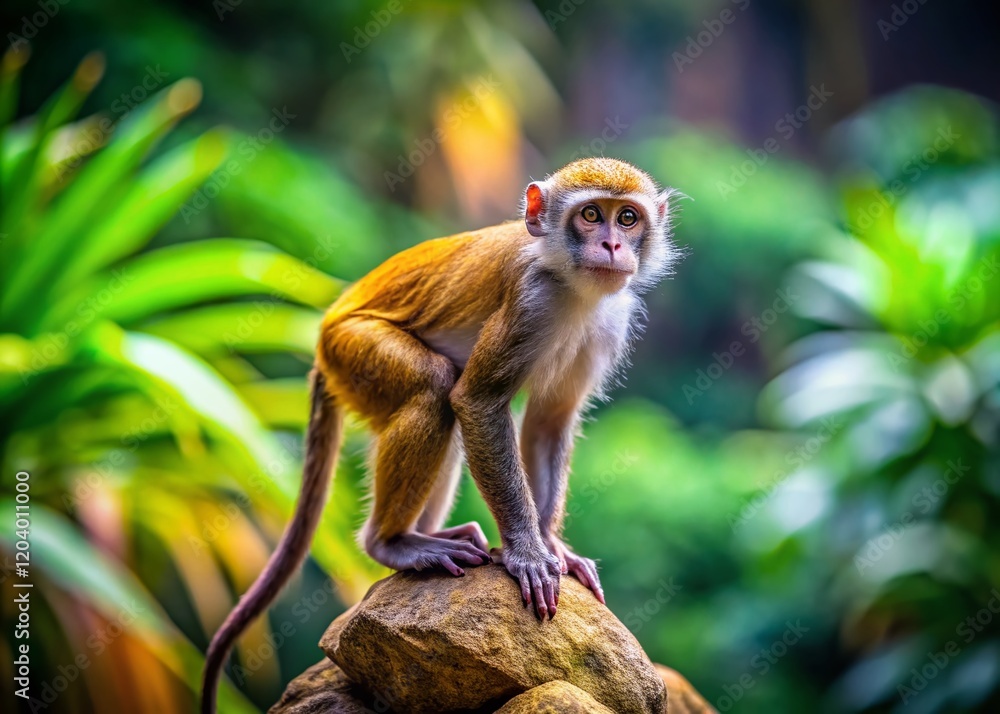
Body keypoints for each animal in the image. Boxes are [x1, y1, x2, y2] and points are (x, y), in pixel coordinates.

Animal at [202, 157, 679, 713]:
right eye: (590, 215)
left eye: (627, 217)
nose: (612, 245)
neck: (568, 282)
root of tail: (325, 336)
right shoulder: (531, 302)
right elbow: (475, 401)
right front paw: (528, 552)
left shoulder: (610, 320)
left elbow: (550, 420)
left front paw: (551, 544)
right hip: (353, 351)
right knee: (435, 388)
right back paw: (392, 543)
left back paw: (431, 535)